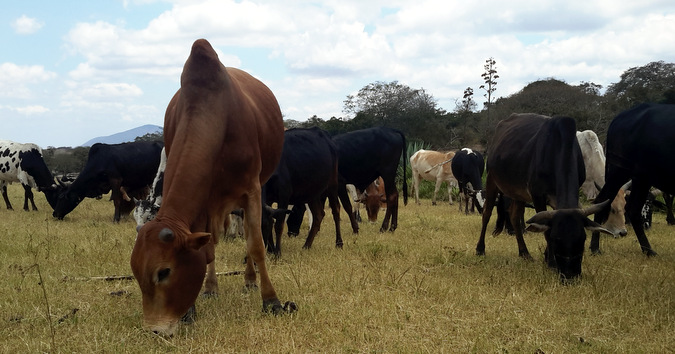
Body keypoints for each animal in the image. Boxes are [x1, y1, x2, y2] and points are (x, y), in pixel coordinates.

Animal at [131, 39, 294, 338]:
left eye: (164, 272)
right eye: (135, 272)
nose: (155, 330)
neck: (214, 114)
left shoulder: (252, 191)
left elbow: (256, 245)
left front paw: (272, 301)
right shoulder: (204, 204)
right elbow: (206, 249)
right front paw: (193, 307)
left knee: (250, 237)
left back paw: (250, 280)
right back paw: (211, 288)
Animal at [476, 113, 612, 280]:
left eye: (583, 239)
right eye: (556, 239)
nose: (570, 275)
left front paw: (547, 257)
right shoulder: (538, 196)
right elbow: (546, 230)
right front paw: (552, 263)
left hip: (518, 193)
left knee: (514, 216)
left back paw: (524, 253)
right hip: (491, 180)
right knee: (487, 213)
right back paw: (480, 249)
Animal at [592, 103, 675, 256]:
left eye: (651, 205)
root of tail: (619, 117)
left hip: (641, 178)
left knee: (633, 209)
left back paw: (648, 250)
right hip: (619, 171)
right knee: (602, 200)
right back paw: (595, 248)